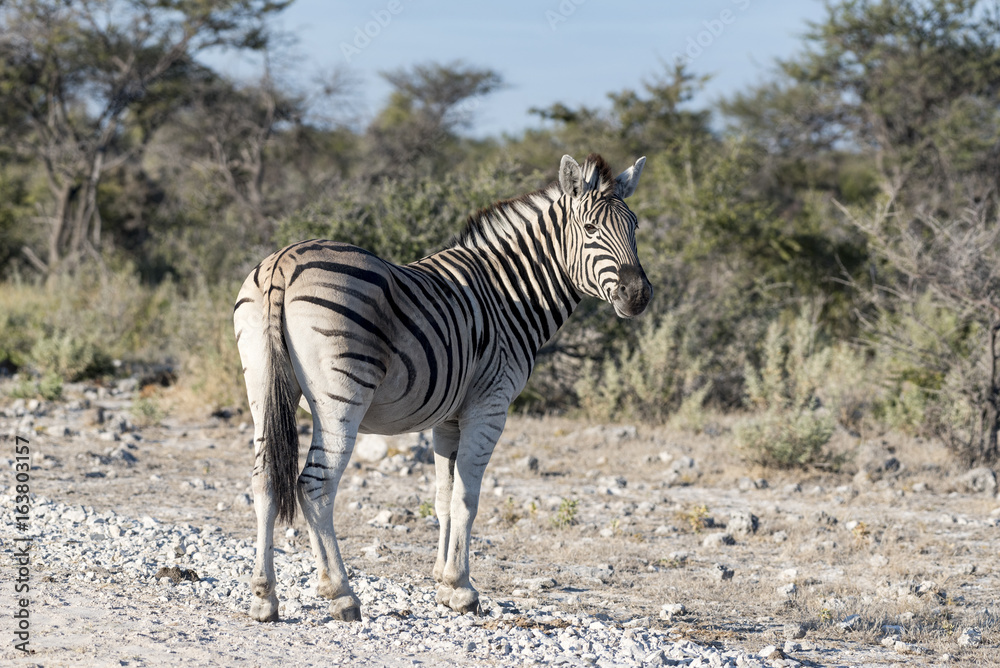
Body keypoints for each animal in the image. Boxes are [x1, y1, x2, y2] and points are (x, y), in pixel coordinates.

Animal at [233, 153, 651, 622]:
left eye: (635, 227)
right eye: (591, 229)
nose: (639, 295)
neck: (510, 295)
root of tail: (282, 263)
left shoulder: (447, 417)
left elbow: (443, 497)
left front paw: (442, 584)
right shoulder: (489, 406)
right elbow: (468, 498)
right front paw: (463, 587)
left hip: (261, 385)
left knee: (265, 481)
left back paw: (264, 597)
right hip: (341, 396)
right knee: (315, 486)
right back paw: (341, 593)